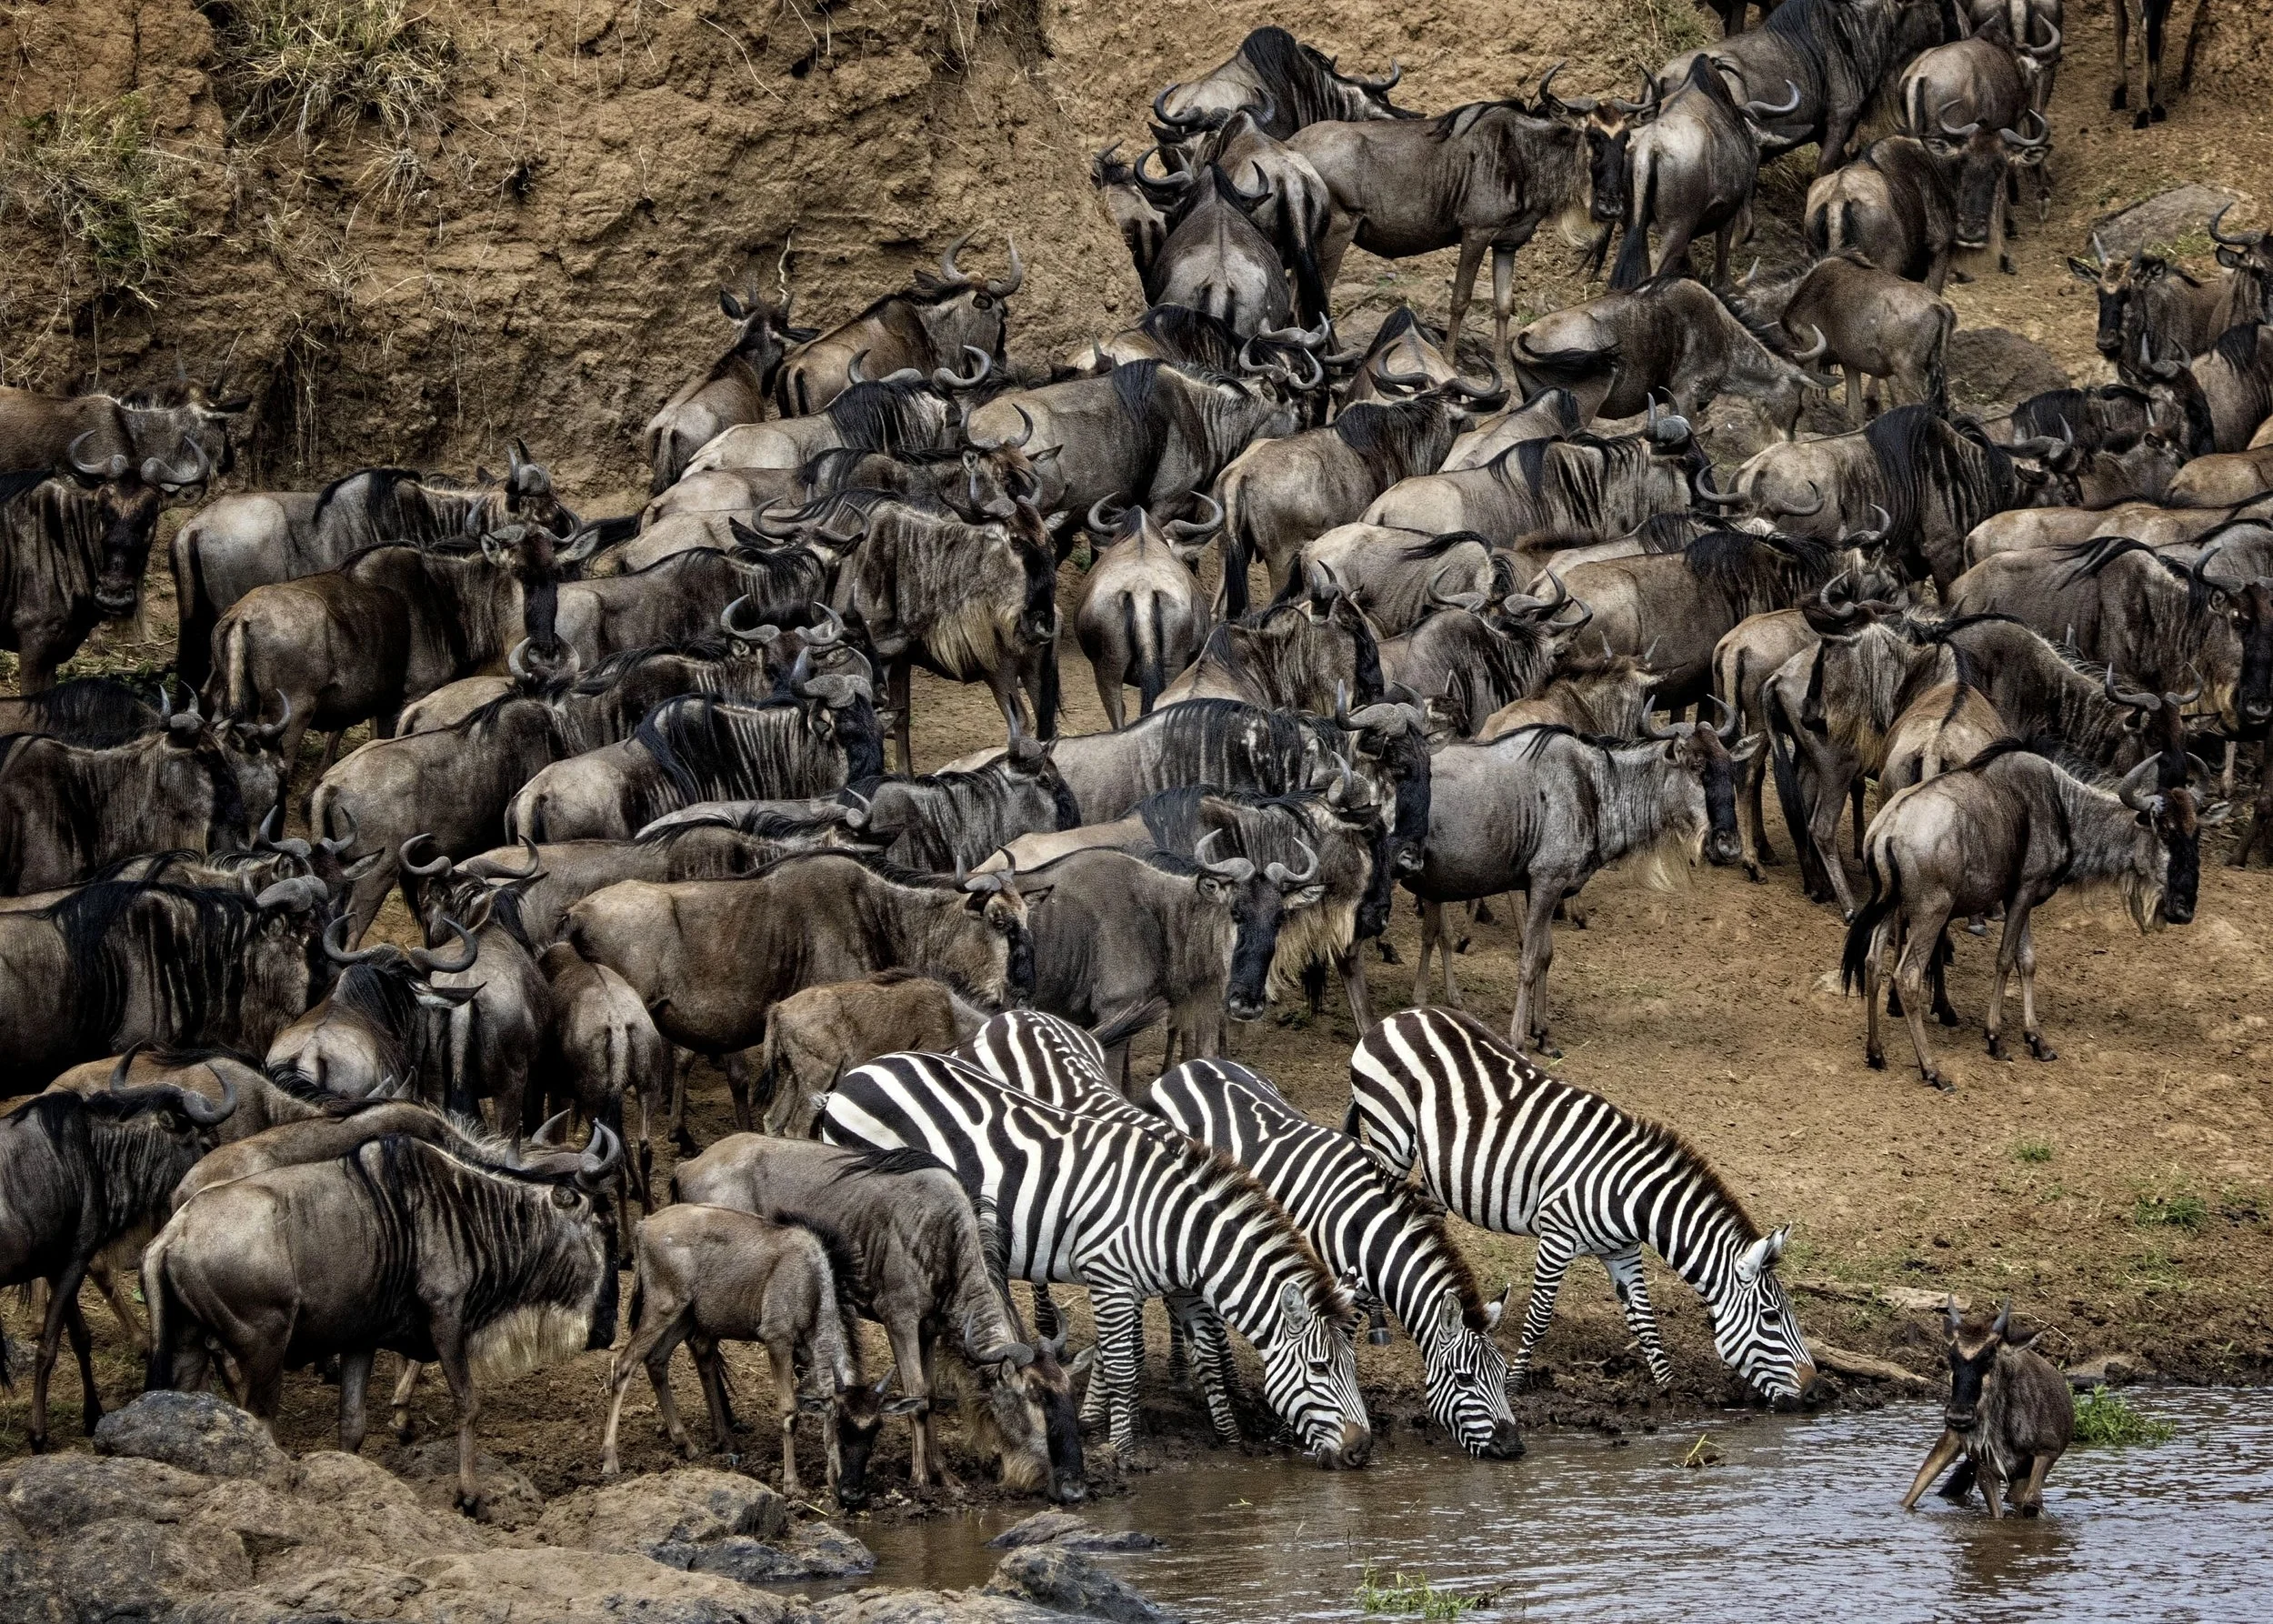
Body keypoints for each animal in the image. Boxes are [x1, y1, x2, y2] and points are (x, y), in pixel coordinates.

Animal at [814, 1047, 1372, 1464]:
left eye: (1352, 1365)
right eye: (1321, 1368)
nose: (1362, 1451)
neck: (1177, 1228)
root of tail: (857, 1074)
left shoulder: (1182, 1290)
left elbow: (1211, 1359)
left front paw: (1231, 1442)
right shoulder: (1110, 1278)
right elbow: (1125, 1365)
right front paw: (1122, 1449)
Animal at [1136, 1056, 1526, 1459]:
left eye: (1502, 1373)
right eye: (1465, 1378)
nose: (1512, 1447)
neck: (1361, 1225)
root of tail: (1188, 1065)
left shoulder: (1355, 1287)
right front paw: (1292, 1434)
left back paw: (1232, 1383)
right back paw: (1180, 1374)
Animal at [1347, 1007, 1817, 1403]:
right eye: (1772, 1317)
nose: (1814, 1392)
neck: (1630, 1196)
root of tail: (1399, 1015)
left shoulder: (1622, 1251)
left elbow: (1644, 1319)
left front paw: (1668, 1388)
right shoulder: (1557, 1237)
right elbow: (1540, 1316)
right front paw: (1514, 1383)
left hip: (1433, 1166)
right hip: (1390, 1137)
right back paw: (1378, 1324)